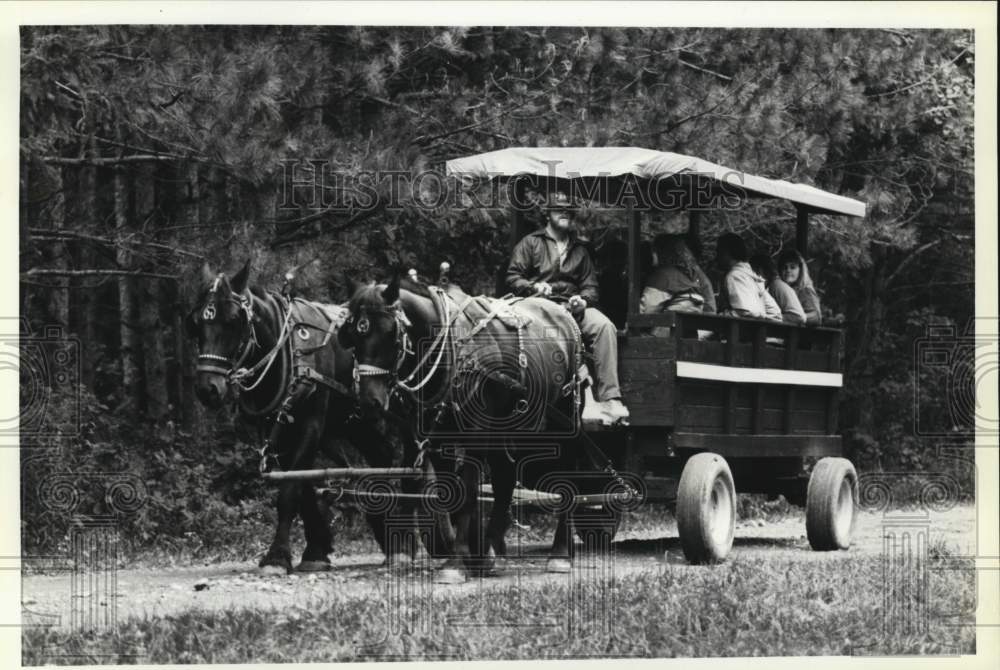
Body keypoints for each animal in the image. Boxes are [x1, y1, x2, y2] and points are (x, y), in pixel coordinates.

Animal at [188, 260, 422, 576]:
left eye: (234, 321)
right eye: (196, 323)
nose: (207, 389)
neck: (288, 353)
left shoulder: (310, 425)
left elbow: (290, 491)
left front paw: (276, 556)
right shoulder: (280, 433)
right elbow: (304, 487)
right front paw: (316, 550)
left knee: (411, 470)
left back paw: (406, 542)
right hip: (356, 423)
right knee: (381, 457)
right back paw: (388, 537)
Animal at [340, 276, 628, 584]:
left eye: (391, 332)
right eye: (353, 334)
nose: (369, 401)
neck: (451, 351)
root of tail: (563, 311)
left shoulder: (475, 434)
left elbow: (467, 493)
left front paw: (455, 563)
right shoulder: (438, 438)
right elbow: (451, 494)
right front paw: (473, 556)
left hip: (565, 418)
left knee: (567, 477)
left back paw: (560, 553)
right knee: (505, 478)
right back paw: (493, 551)